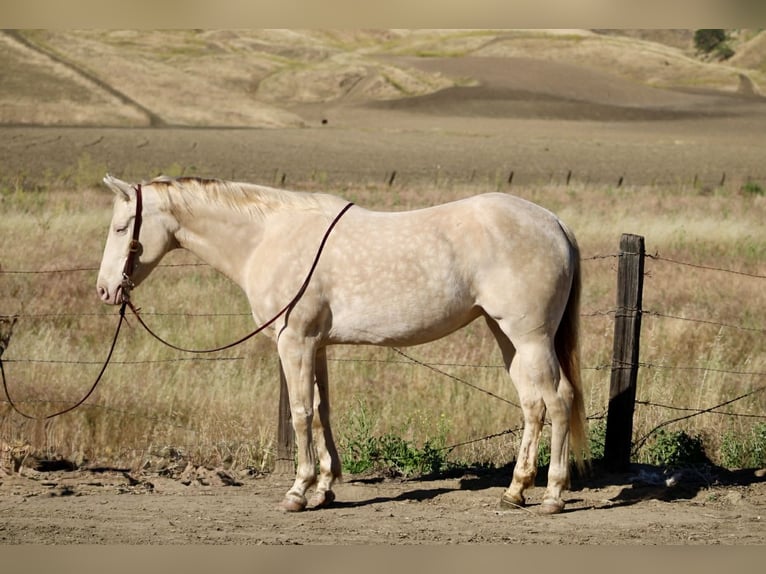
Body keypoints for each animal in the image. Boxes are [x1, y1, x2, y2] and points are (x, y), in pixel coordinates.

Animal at [96, 174, 588, 514]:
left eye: (121, 228)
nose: (104, 290)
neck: (268, 238)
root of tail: (555, 223)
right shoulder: (317, 346)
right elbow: (322, 410)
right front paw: (325, 489)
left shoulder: (294, 343)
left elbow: (299, 413)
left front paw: (298, 491)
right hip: (506, 335)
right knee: (533, 405)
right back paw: (516, 490)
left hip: (530, 337)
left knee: (559, 400)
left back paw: (553, 495)